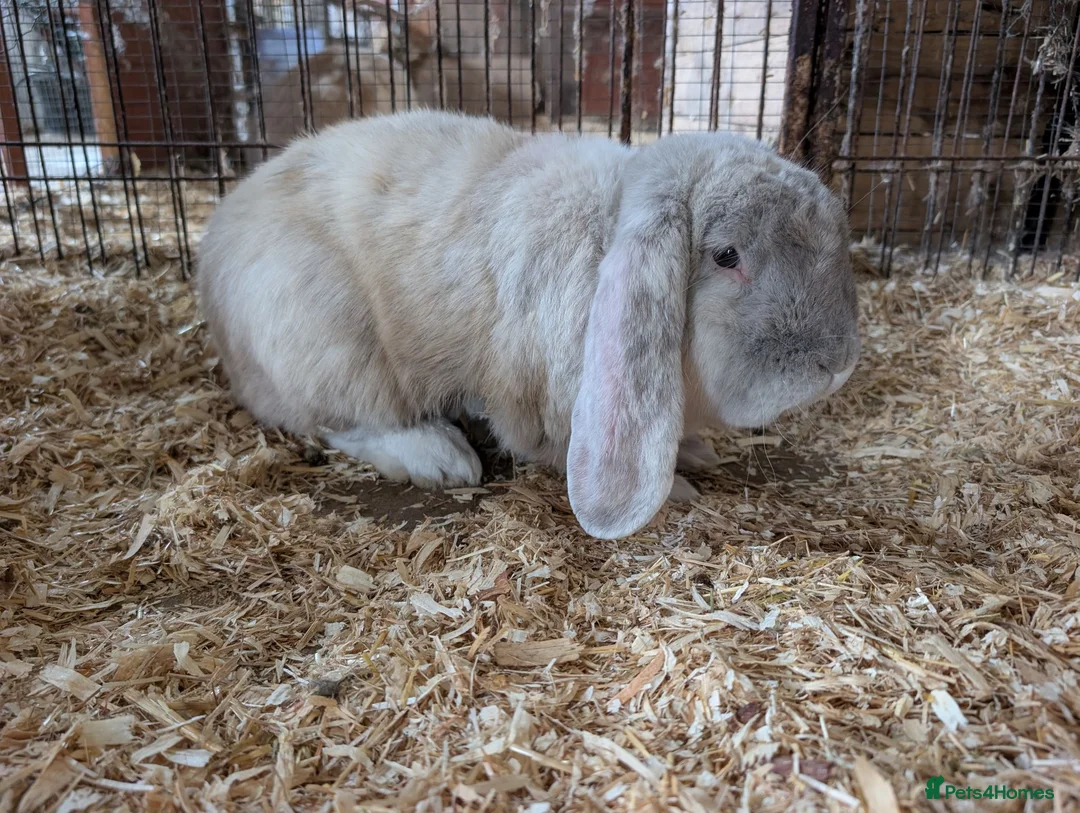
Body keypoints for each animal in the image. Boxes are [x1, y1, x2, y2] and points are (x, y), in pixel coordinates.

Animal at [197, 109, 861, 540]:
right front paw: (675, 489)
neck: (608, 228)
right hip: (329, 344)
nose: (838, 366)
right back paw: (440, 458)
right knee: (347, 422)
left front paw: (693, 451)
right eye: (726, 257)